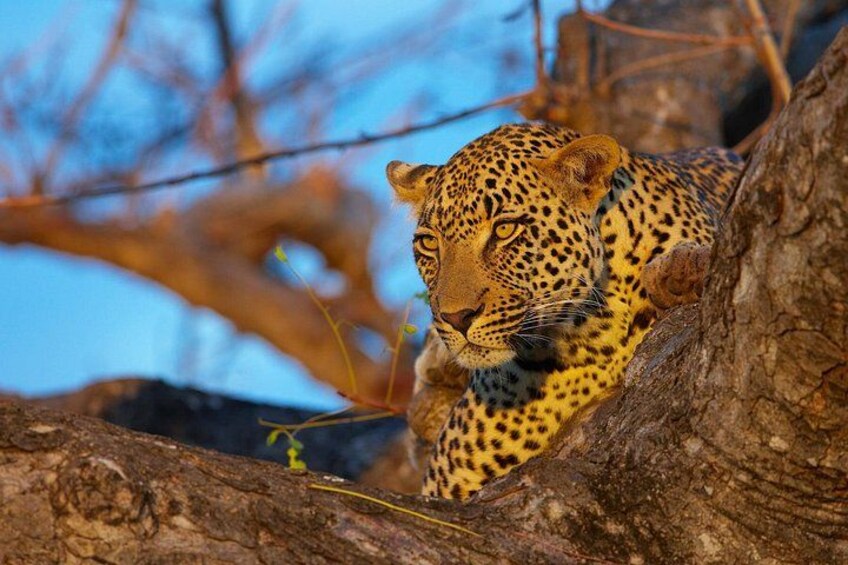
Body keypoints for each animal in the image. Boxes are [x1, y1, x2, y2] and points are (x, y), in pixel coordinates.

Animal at [386, 122, 742, 500]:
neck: (587, 331)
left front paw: (680, 273)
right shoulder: (446, 482)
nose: (456, 318)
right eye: (429, 244)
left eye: (505, 229)